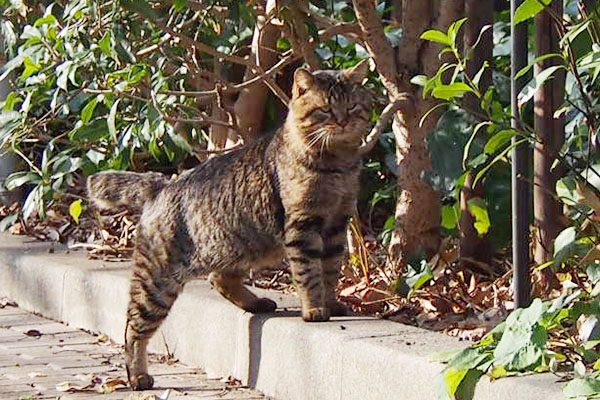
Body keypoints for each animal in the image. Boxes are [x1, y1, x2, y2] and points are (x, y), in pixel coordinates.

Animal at [86, 61, 372, 390]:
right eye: (325, 109)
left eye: (351, 106)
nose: (342, 121)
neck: (337, 165)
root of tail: (162, 184)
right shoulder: (304, 225)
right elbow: (309, 273)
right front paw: (314, 309)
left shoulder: (337, 224)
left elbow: (330, 270)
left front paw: (331, 302)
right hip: (157, 282)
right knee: (133, 328)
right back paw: (138, 375)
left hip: (242, 247)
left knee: (219, 279)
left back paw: (256, 303)